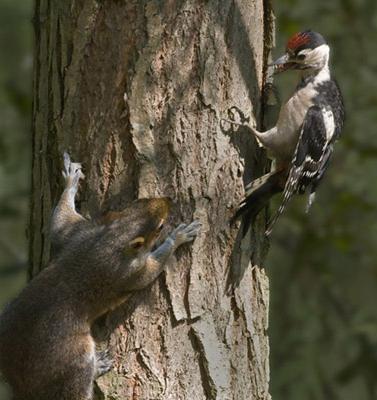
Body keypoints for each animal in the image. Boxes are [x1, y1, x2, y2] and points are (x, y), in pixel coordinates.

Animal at [0, 152, 200, 400]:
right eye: (160, 226)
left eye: (139, 201)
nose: (168, 199)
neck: (111, 240)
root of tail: (21, 385)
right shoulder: (130, 273)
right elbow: (150, 271)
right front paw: (178, 237)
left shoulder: (76, 233)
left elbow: (60, 221)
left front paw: (70, 179)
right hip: (72, 357)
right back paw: (98, 366)